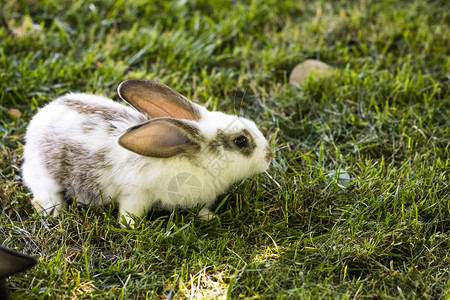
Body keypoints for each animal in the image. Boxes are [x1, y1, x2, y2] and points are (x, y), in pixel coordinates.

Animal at [22, 79, 272, 227]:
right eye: (241, 141)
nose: (269, 156)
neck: (195, 162)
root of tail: (39, 120)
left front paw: (210, 217)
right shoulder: (137, 192)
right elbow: (130, 211)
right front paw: (130, 227)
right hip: (45, 176)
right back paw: (54, 212)